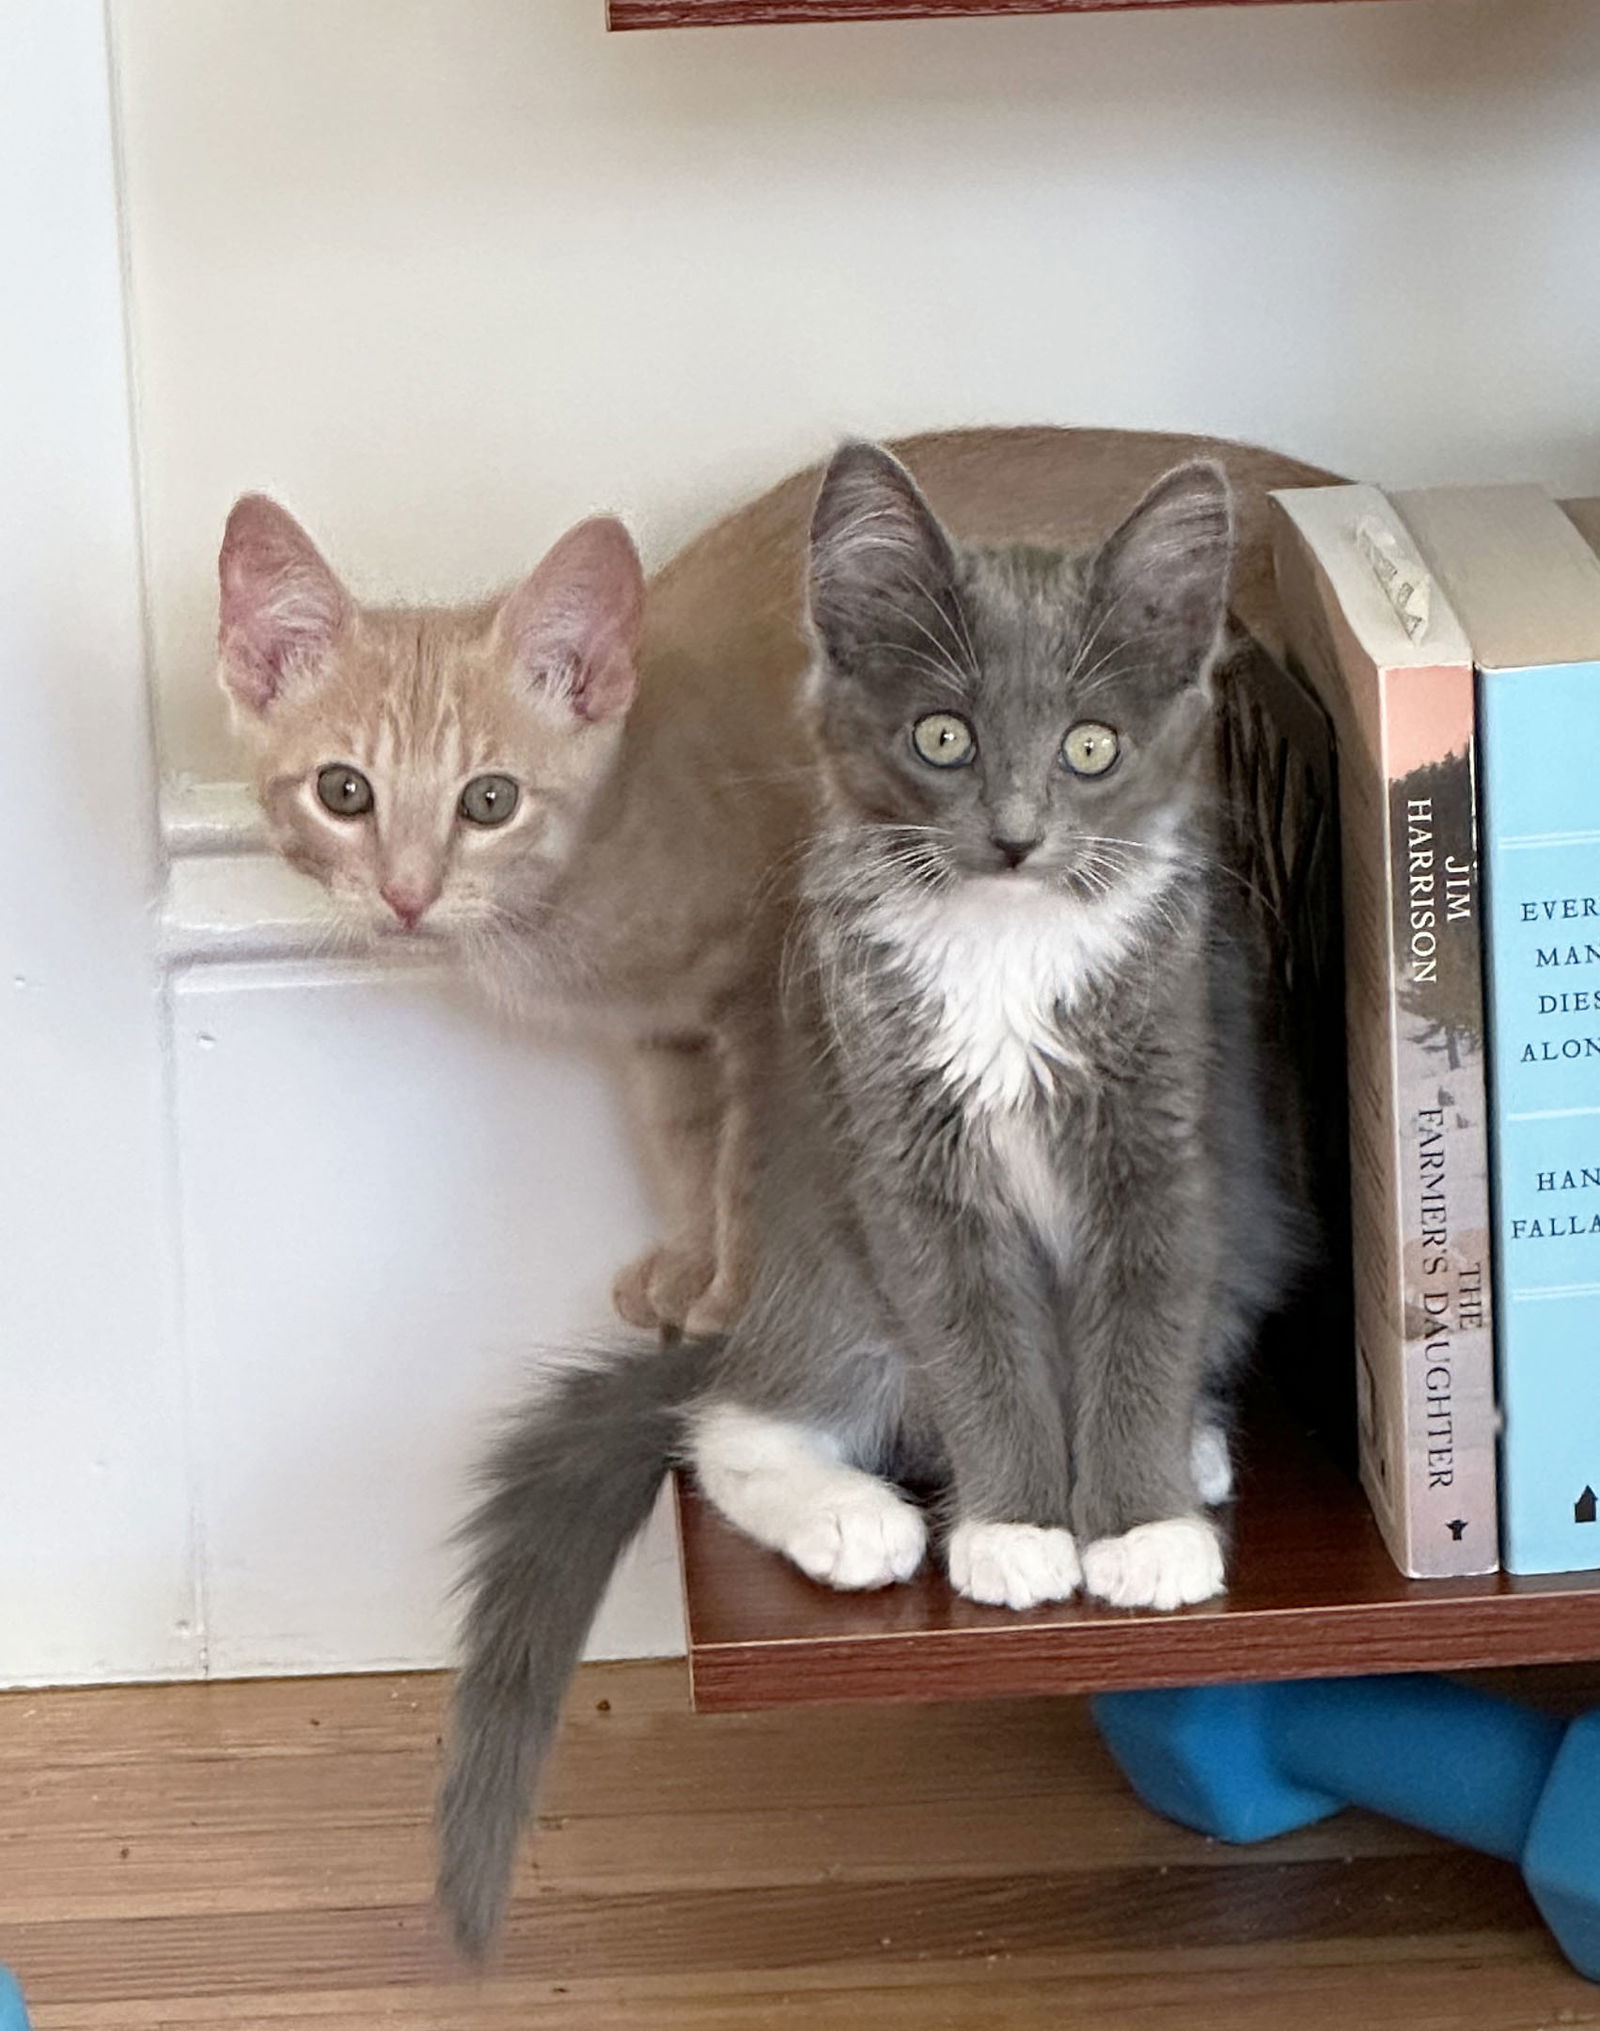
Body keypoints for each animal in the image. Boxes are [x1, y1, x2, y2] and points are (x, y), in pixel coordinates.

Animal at [434, 440, 1299, 1949]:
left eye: (1089, 747)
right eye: (942, 737)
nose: (1014, 839)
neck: (1007, 951)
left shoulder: (1167, 1131)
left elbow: (1138, 1322)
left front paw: (1137, 1525)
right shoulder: (906, 1153)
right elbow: (982, 1351)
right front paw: (1018, 1528)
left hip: (1247, 1215)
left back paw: (1192, 1447)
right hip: (824, 1257)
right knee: (729, 1419)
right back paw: (858, 1514)